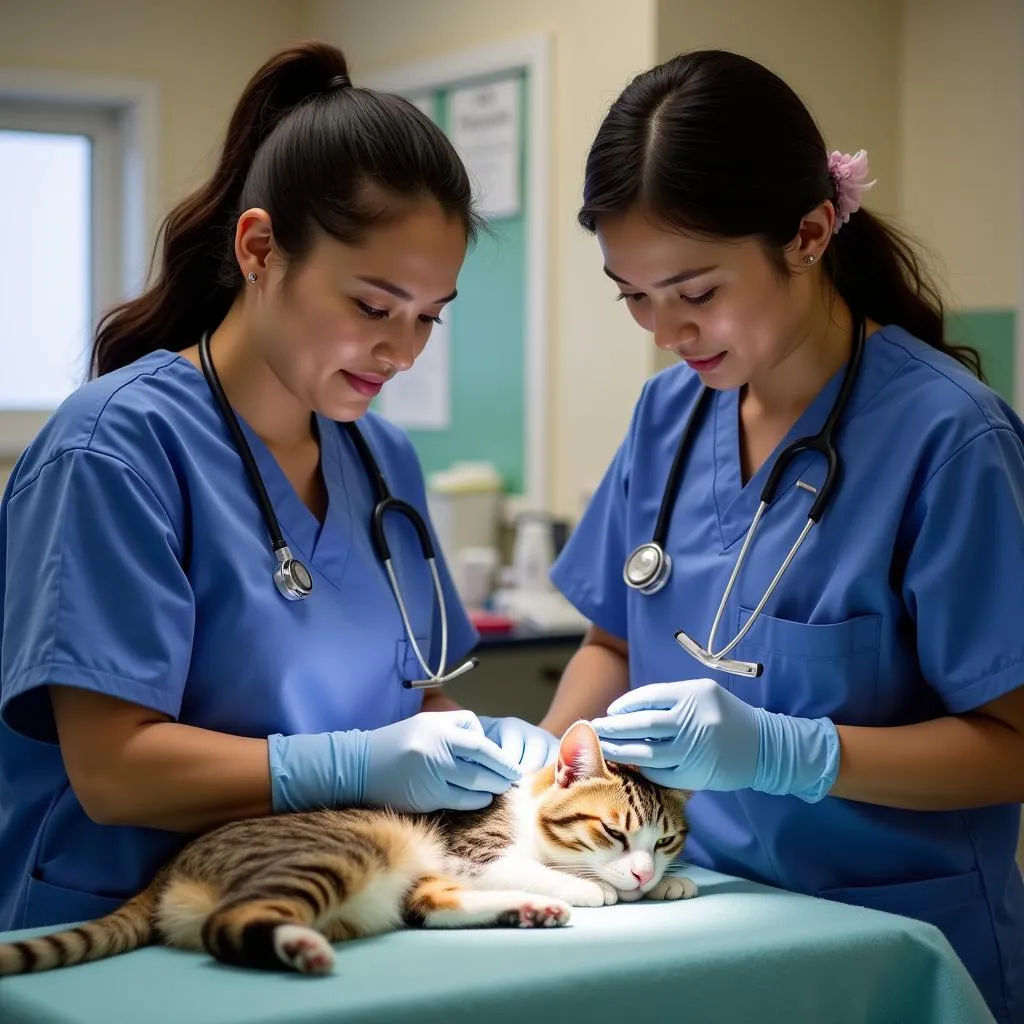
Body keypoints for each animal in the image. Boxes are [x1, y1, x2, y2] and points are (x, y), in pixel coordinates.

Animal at [0, 720, 696, 974]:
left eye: (664, 840)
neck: (524, 807)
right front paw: (593, 887)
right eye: (612, 831)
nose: (642, 873)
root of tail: (169, 866)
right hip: (348, 849)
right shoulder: (477, 852)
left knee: (424, 906)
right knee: (232, 923)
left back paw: (529, 912)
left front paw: (669, 881)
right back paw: (298, 947)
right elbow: (544, 868)